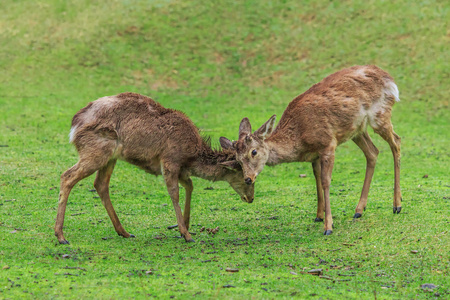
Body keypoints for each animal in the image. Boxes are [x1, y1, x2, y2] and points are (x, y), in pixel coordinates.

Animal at [53, 92, 253, 245]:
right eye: (245, 176)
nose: (250, 198)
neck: (191, 155)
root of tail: (74, 126)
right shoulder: (170, 160)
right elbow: (174, 193)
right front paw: (186, 234)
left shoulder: (181, 169)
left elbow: (190, 186)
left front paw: (185, 226)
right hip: (95, 151)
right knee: (67, 176)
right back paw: (61, 236)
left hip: (110, 157)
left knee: (100, 184)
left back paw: (124, 232)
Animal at [221, 65, 400, 237]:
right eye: (237, 159)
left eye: (253, 152)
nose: (248, 178)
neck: (300, 139)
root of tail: (390, 79)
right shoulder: (314, 156)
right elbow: (317, 180)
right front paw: (319, 216)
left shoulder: (328, 144)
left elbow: (326, 181)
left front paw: (328, 226)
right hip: (357, 130)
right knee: (373, 152)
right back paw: (359, 210)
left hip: (380, 115)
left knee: (396, 142)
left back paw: (397, 205)